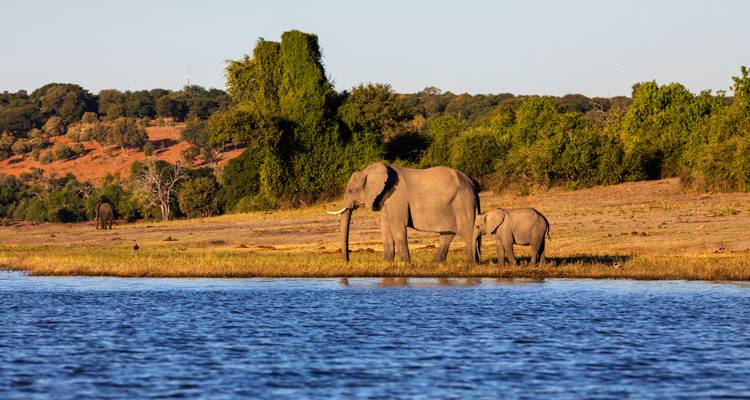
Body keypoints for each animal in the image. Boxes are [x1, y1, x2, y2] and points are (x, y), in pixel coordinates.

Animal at [327, 162, 480, 263]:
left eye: (350, 191)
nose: (347, 262)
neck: (369, 171)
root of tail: (472, 184)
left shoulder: (397, 197)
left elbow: (397, 227)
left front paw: (405, 264)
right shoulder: (386, 199)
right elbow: (385, 227)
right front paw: (387, 263)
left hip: (462, 202)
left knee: (468, 233)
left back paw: (471, 264)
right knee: (447, 234)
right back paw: (436, 263)